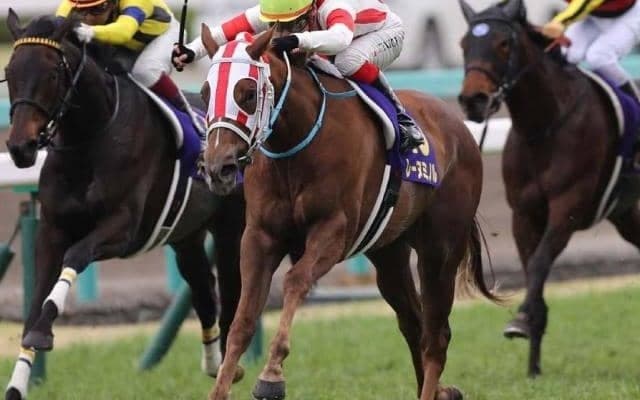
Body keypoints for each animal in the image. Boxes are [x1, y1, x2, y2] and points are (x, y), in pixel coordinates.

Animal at [3, 12, 245, 399]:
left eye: (52, 74)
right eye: (10, 72)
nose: (19, 148)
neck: (90, 138)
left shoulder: (122, 229)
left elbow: (74, 257)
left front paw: (44, 328)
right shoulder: (51, 229)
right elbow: (36, 297)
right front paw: (19, 379)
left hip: (230, 228)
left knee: (232, 293)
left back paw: (229, 367)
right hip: (185, 235)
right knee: (203, 290)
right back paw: (212, 363)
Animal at [197, 23, 499, 400]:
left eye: (248, 93)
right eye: (205, 93)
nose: (217, 168)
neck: (295, 143)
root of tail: (460, 128)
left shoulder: (333, 231)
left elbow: (296, 280)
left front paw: (271, 375)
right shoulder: (260, 236)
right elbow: (243, 319)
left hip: (440, 250)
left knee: (436, 336)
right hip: (389, 253)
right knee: (413, 324)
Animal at [458, 0, 640, 377]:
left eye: (503, 44)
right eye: (464, 44)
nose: (473, 100)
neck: (543, 126)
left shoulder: (567, 208)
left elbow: (541, 261)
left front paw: (521, 322)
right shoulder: (523, 213)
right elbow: (531, 269)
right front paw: (533, 363)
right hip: (627, 214)